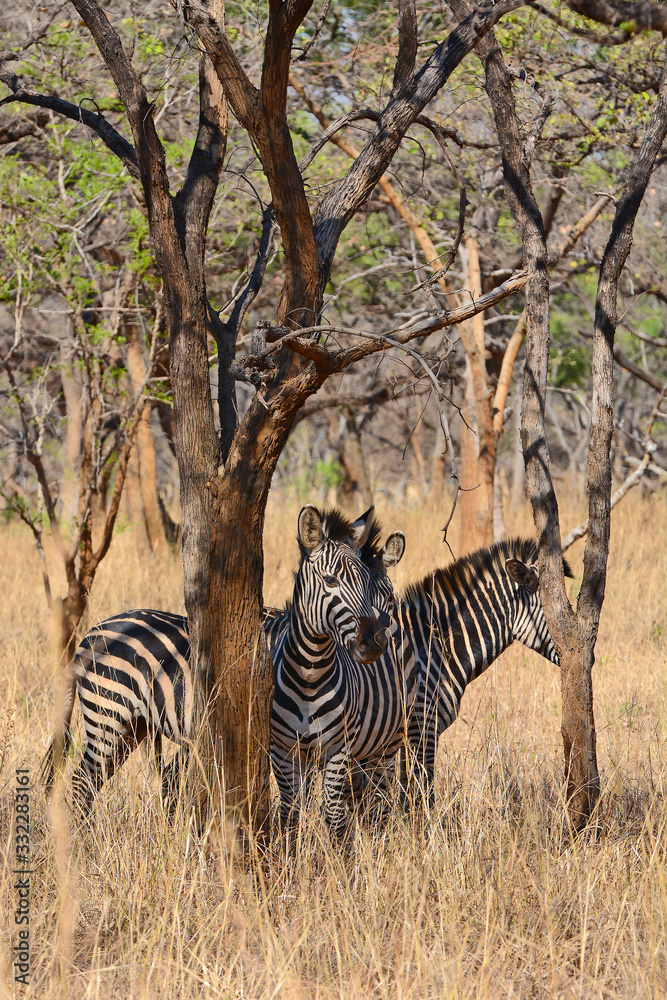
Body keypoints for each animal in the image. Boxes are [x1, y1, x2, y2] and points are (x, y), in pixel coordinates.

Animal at [41, 506, 413, 833]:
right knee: (82, 782)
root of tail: (92, 632)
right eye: (331, 580)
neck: (311, 670)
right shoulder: (284, 747)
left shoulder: (339, 748)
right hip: (107, 716)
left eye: (388, 597)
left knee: (92, 782)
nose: (373, 642)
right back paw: (82, 846)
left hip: (132, 727)